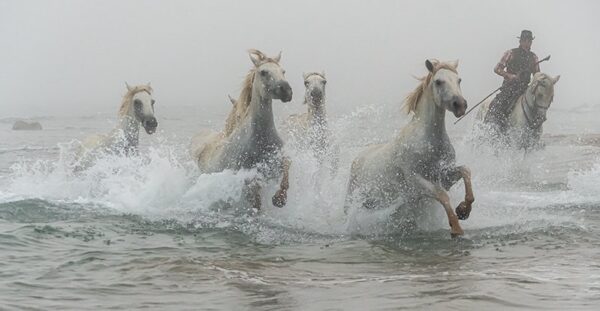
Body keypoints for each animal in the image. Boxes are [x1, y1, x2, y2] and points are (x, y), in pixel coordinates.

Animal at [191, 50, 294, 211]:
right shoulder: (247, 174)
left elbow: (286, 168)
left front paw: (280, 198)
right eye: (263, 72)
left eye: (283, 71)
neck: (261, 138)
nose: (286, 91)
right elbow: (255, 197)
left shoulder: (278, 162)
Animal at [344, 59, 476, 238]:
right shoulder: (415, 181)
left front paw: (463, 210)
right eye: (438, 81)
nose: (460, 105)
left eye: (459, 80)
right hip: (354, 200)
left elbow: (465, 171)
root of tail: (358, 158)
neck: (429, 143)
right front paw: (456, 228)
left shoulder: (444, 175)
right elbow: (442, 194)